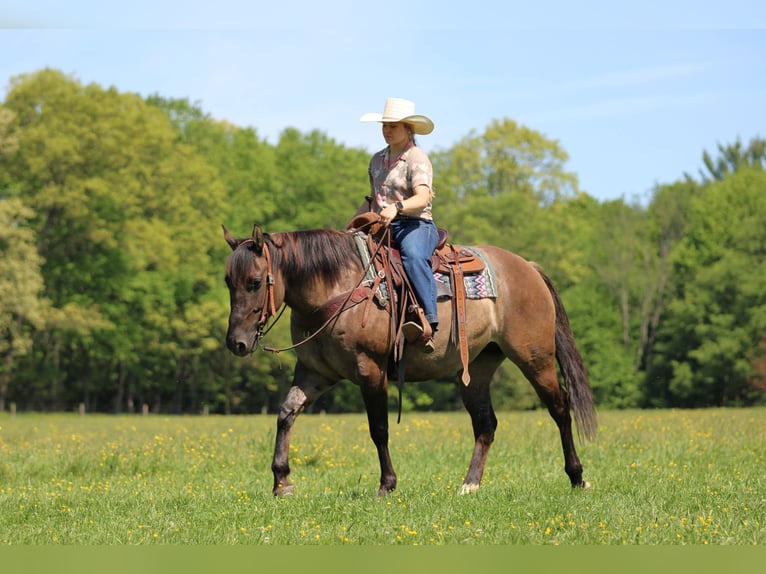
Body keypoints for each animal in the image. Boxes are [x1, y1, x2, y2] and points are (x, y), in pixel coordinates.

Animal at [223, 223, 597, 496]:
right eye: (228, 282)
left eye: (254, 282)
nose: (236, 343)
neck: (338, 288)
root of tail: (528, 268)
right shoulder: (315, 372)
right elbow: (286, 414)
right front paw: (281, 481)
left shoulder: (370, 370)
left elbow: (379, 428)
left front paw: (386, 485)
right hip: (476, 369)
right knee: (486, 424)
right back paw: (469, 485)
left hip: (536, 358)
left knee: (560, 408)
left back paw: (577, 477)